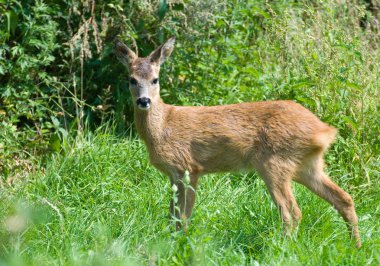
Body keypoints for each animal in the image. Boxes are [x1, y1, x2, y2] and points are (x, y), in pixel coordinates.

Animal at [113, 37, 362, 247]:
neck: (163, 126)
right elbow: (172, 213)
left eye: (155, 79)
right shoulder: (173, 174)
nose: (144, 101)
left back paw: (280, 248)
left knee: (292, 211)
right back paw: (355, 246)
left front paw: (181, 243)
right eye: (131, 79)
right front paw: (171, 241)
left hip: (274, 163)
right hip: (307, 166)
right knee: (343, 198)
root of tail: (324, 131)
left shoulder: (189, 167)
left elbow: (184, 214)